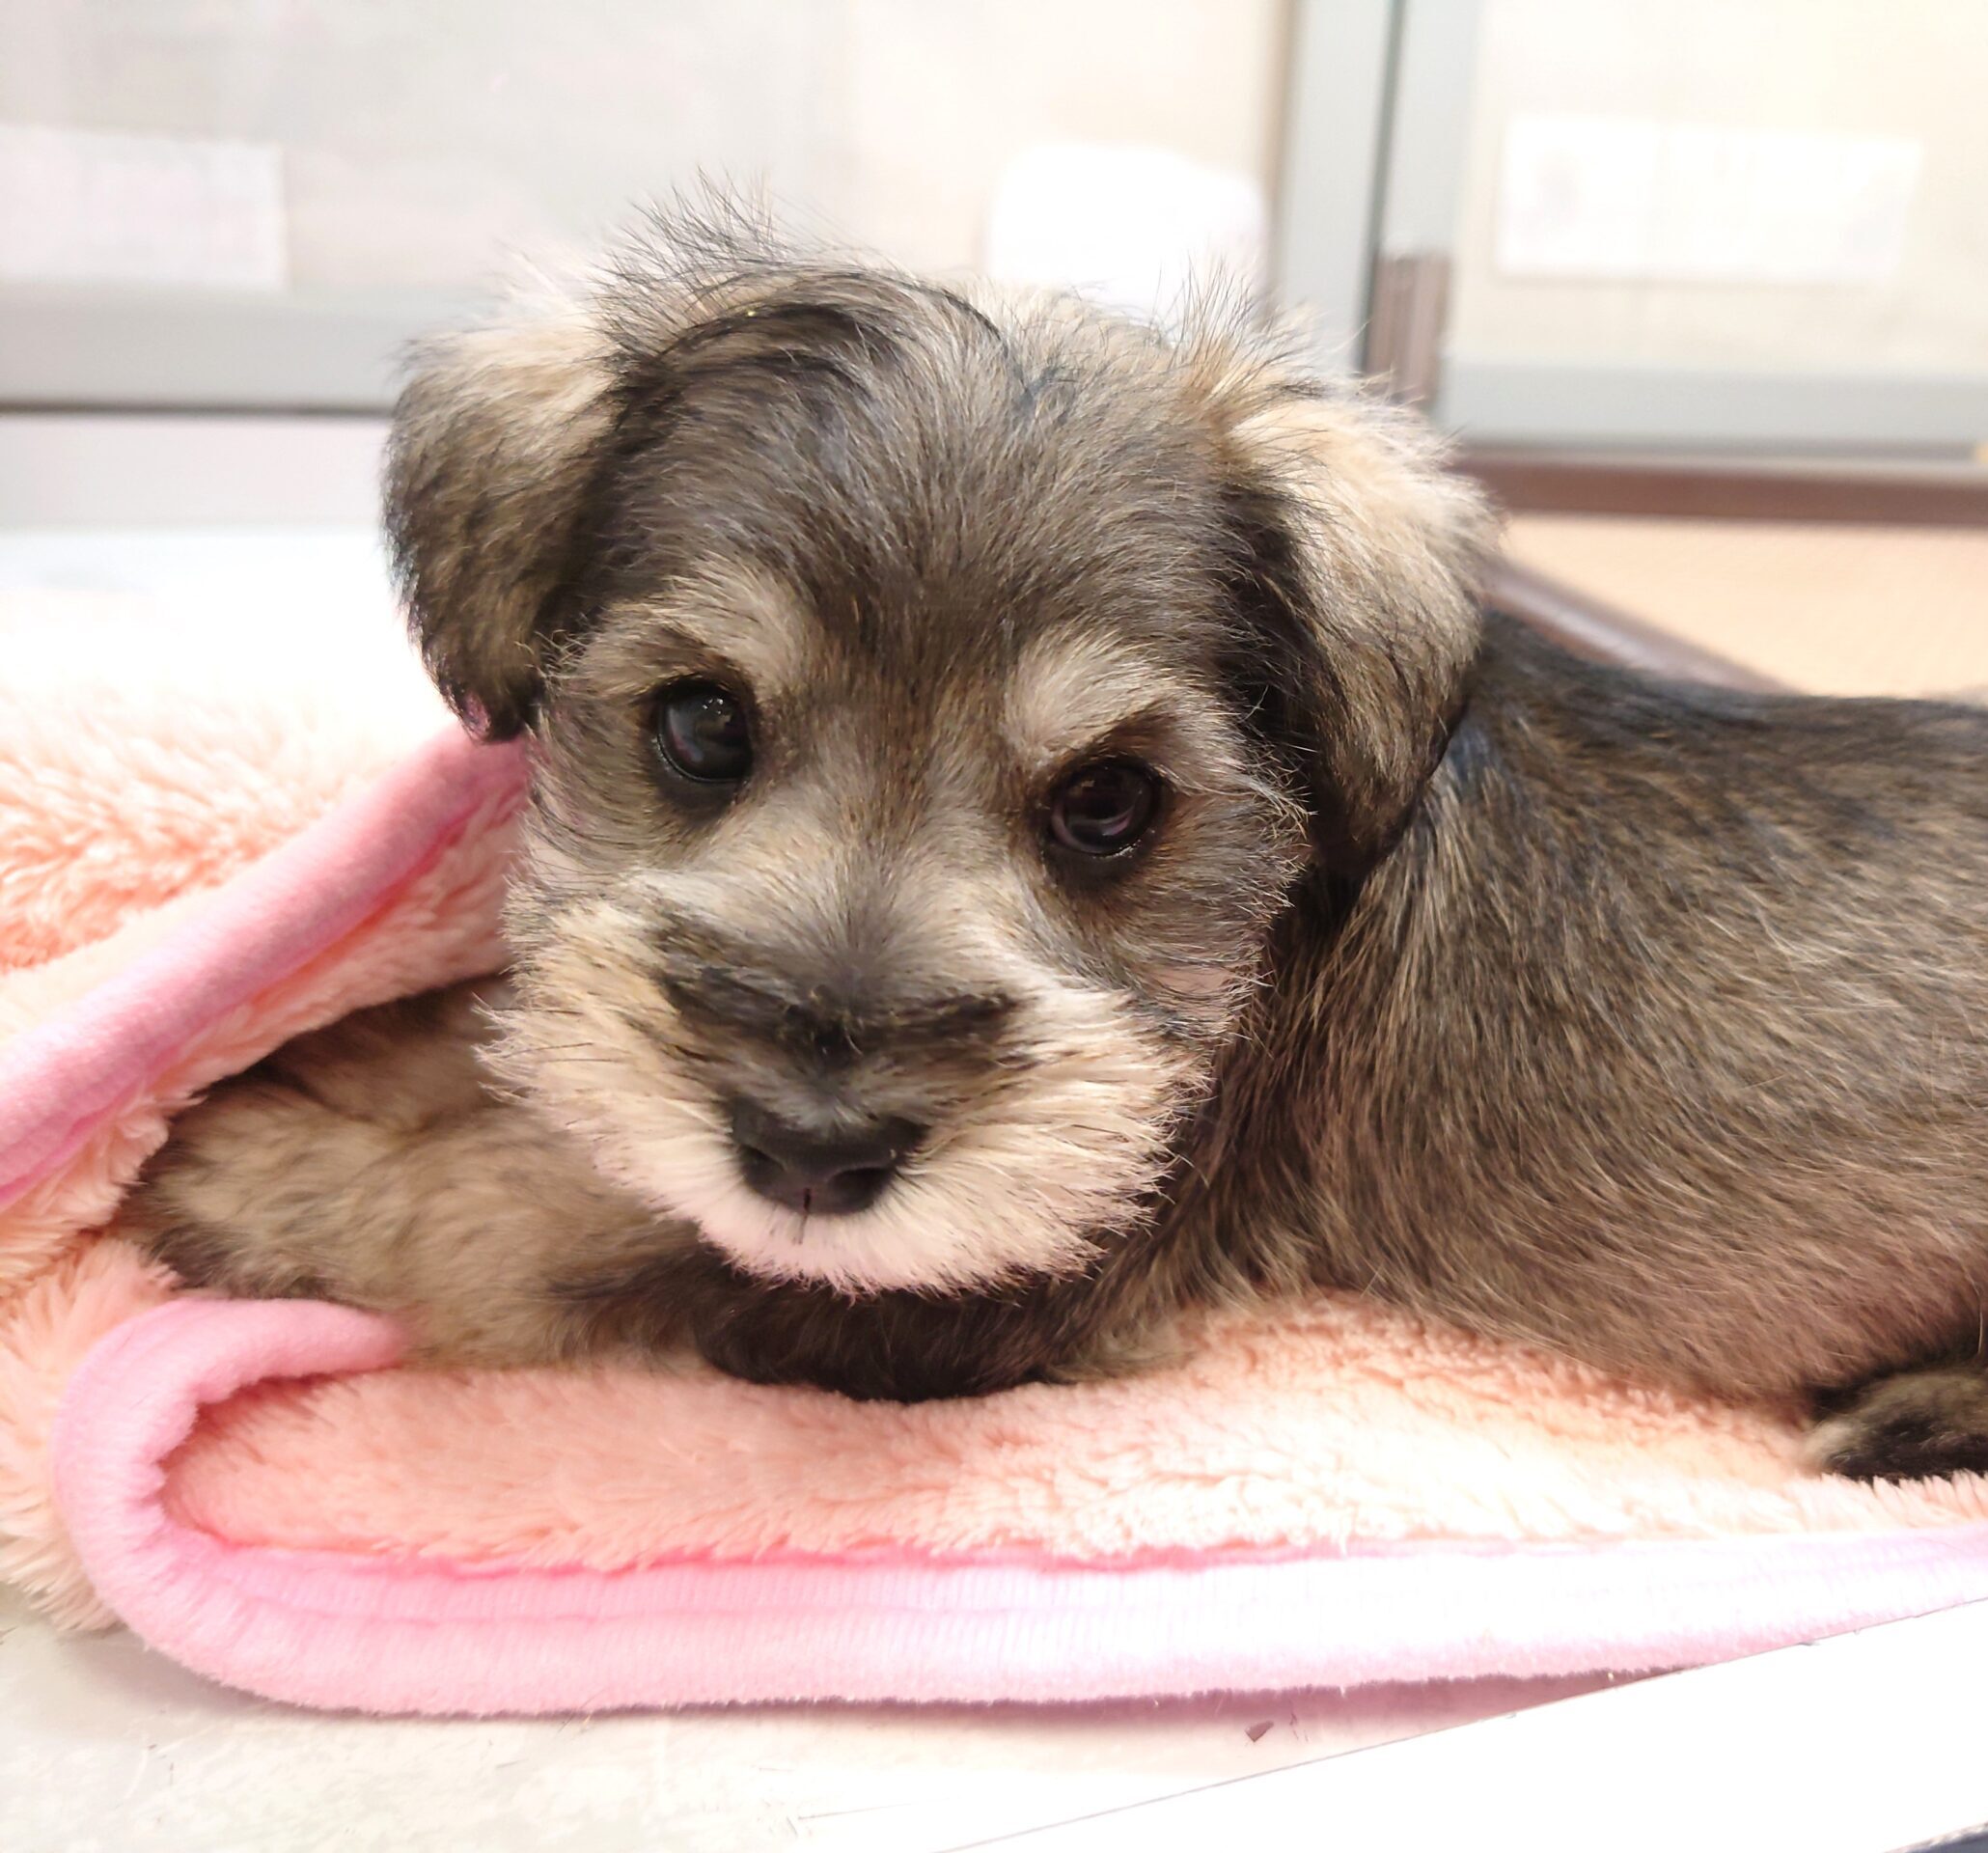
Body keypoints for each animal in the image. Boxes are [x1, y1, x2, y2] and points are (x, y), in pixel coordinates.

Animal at [126, 208, 1988, 1481]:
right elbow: (526, 1080)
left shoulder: (995, 1281)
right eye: (700, 725)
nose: (813, 1152)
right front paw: (333, 1054)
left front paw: (248, 1173)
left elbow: (523, 1214)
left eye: (1111, 807)